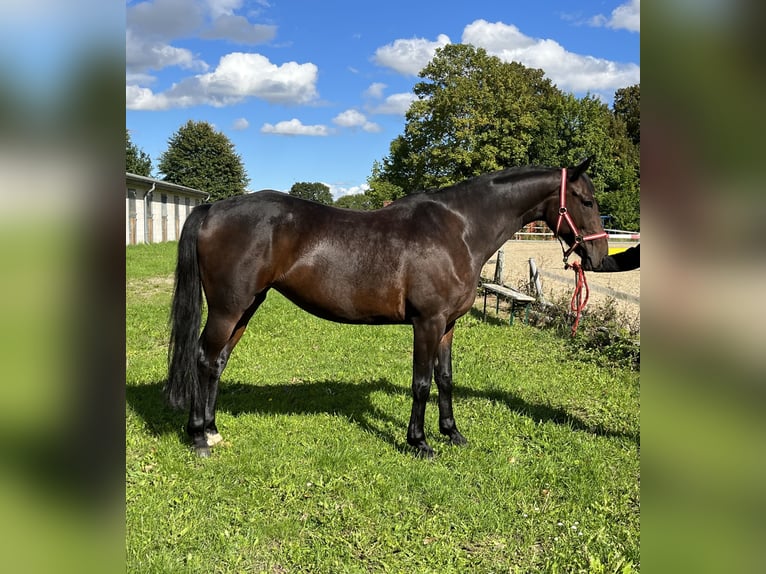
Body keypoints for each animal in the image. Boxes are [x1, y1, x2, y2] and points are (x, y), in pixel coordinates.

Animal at [166, 157, 608, 458]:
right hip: (227, 308)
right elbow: (422, 383)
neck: (459, 229)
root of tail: (213, 208)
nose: (599, 255)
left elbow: (446, 379)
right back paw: (198, 437)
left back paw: (213, 429)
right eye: (585, 200)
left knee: (217, 361)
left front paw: (453, 433)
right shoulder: (427, 323)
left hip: (245, 307)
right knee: (204, 357)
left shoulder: (447, 326)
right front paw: (421, 442)